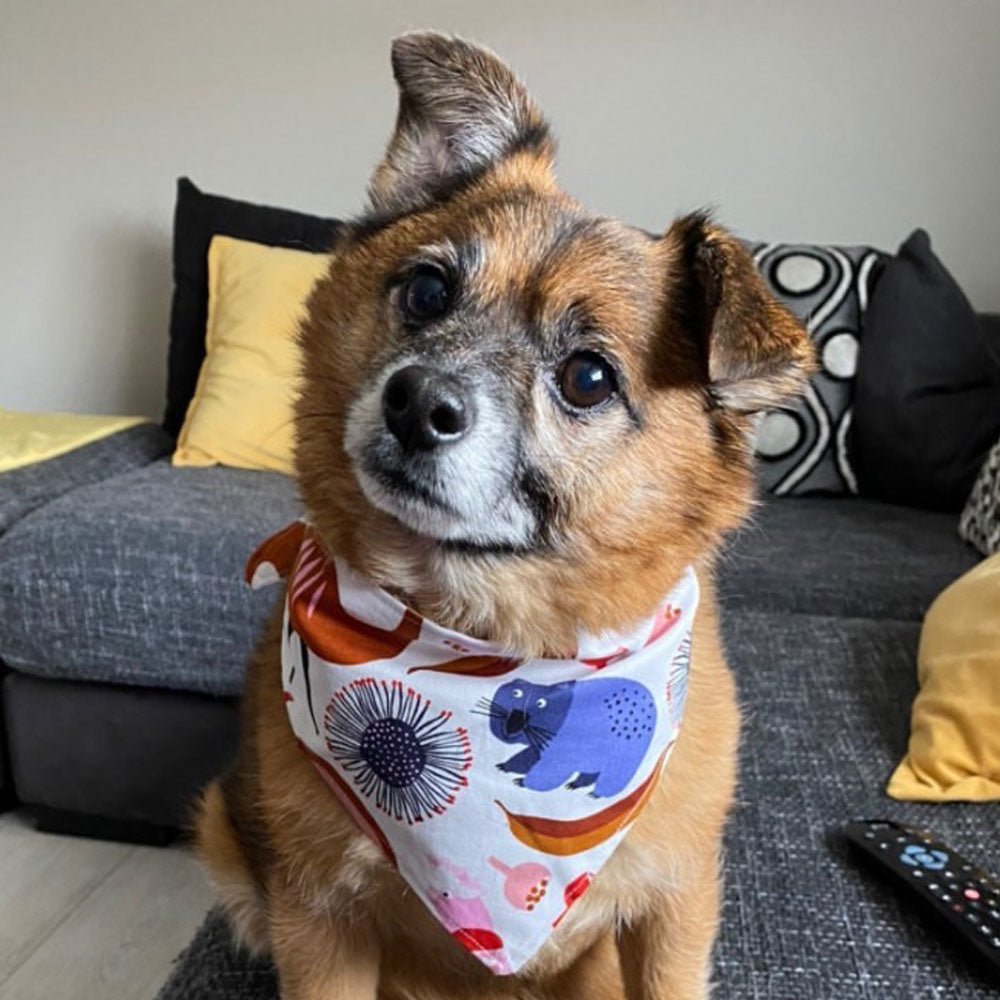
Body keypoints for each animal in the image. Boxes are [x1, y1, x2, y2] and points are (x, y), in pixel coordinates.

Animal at [195, 31, 812, 1000]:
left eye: (588, 378)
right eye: (427, 292)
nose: (417, 403)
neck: (481, 640)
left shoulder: (672, 910)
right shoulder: (319, 918)